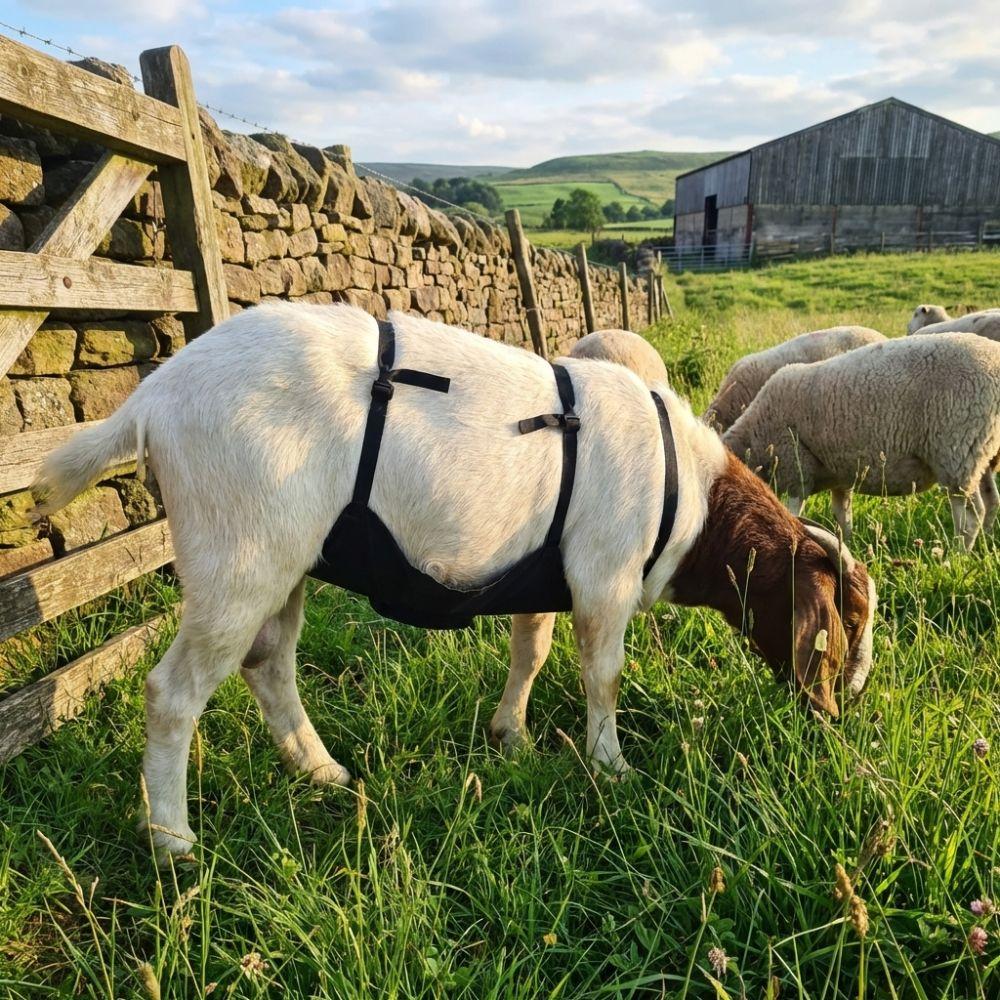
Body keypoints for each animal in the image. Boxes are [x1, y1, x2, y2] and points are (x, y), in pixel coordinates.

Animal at [723, 333, 1000, 548]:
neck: (753, 436)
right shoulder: (839, 476)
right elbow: (842, 516)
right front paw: (847, 544)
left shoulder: (795, 468)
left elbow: (792, 513)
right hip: (983, 453)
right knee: (991, 501)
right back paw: (984, 544)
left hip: (957, 453)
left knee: (970, 516)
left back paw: (956, 555)